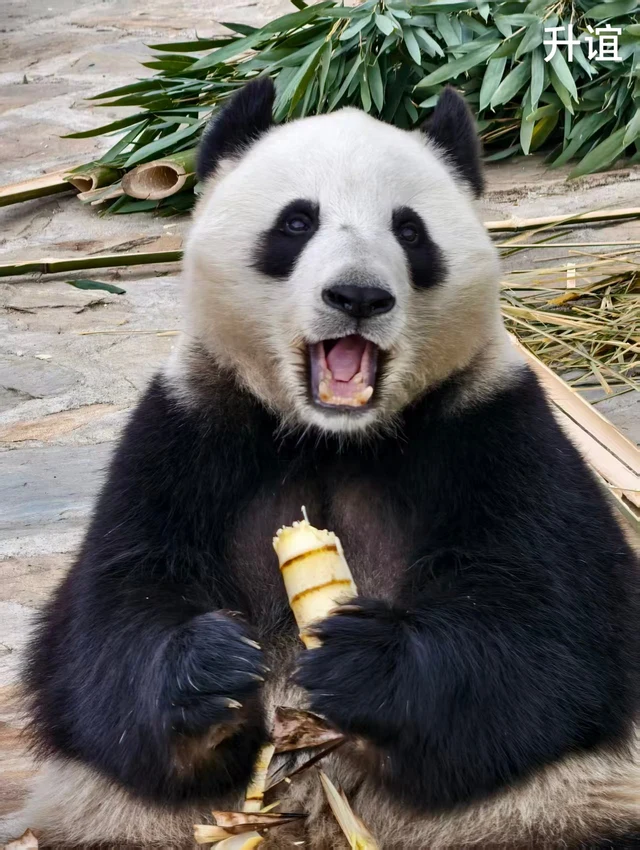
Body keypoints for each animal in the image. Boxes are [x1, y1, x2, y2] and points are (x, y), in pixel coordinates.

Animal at [6, 78, 640, 849]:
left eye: (410, 232)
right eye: (297, 222)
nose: (359, 296)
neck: (333, 436)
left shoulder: (494, 428)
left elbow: (552, 632)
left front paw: (364, 663)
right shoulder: (188, 433)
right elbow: (103, 629)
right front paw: (213, 667)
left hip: (551, 812)